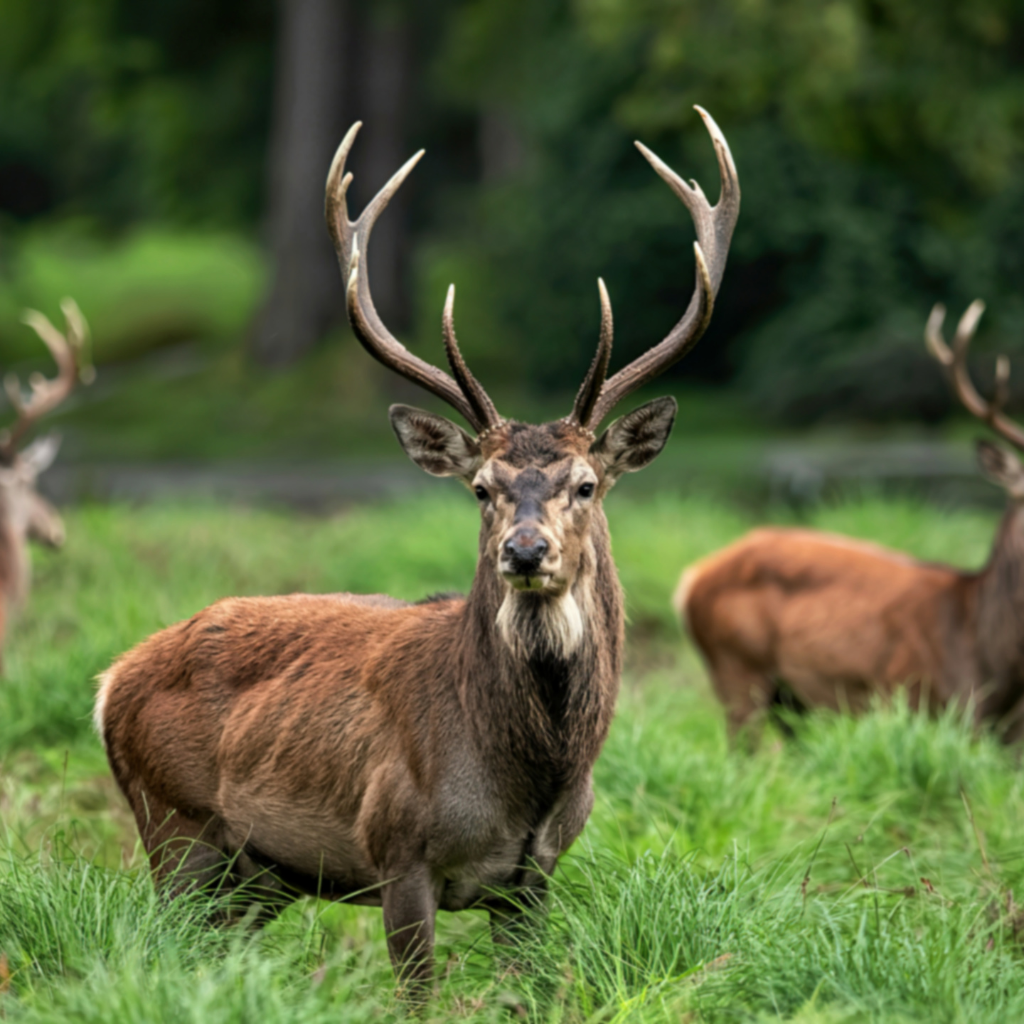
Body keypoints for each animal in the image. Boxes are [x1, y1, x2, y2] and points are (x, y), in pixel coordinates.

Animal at [94, 108, 740, 992]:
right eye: (481, 488)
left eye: (585, 484)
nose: (525, 551)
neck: (528, 777)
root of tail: (108, 683)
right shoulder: (396, 852)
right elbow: (418, 995)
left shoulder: (534, 876)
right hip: (177, 832)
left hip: (257, 876)